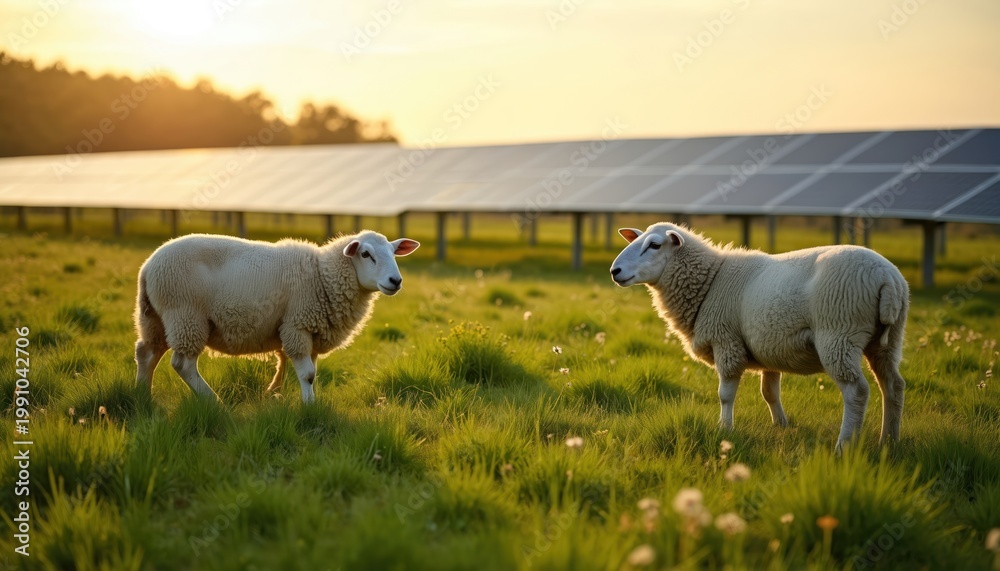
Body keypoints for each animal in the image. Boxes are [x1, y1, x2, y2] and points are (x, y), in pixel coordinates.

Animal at [134, 231, 419, 403]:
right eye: (365, 254)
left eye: (393, 253)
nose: (395, 281)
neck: (322, 276)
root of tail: (147, 267)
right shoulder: (297, 325)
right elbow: (308, 374)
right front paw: (309, 407)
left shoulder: (310, 332)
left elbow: (306, 370)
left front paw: (283, 395)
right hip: (185, 316)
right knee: (182, 364)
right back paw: (214, 401)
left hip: (155, 320)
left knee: (146, 353)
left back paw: (143, 397)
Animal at [610, 223, 909, 449]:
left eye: (655, 245)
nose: (615, 271)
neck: (712, 281)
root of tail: (887, 278)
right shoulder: (770, 346)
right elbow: (770, 393)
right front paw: (781, 425)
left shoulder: (726, 342)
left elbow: (725, 395)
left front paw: (725, 428)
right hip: (888, 341)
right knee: (893, 386)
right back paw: (889, 442)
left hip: (838, 335)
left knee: (856, 391)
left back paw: (843, 446)